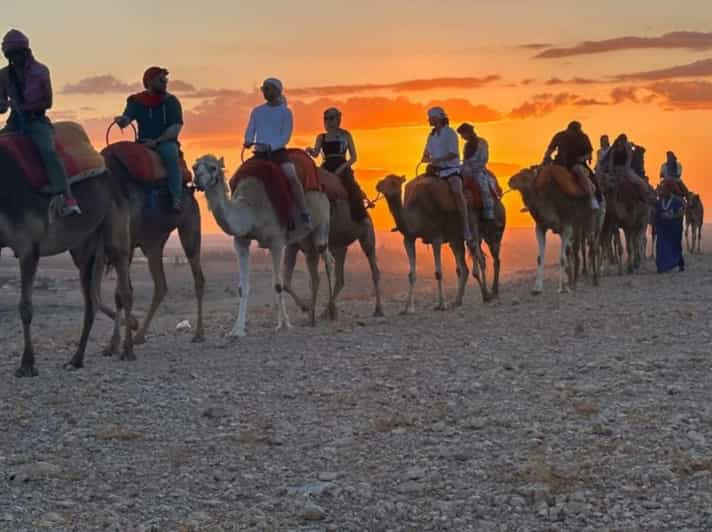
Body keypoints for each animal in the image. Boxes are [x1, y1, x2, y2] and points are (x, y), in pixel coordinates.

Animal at [0, 128, 134, 376]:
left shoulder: (28, 247)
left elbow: (25, 307)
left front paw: (27, 363)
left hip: (116, 227)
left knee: (124, 287)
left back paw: (128, 351)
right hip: (84, 248)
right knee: (90, 301)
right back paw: (76, 359)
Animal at [192, 154, 336, 336]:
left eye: (213, 167)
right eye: (194, 167)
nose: (197, 179)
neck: (250, 210)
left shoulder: (276, 242)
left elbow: (278, 285)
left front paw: (284, 324)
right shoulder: (241, 241)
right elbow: (243, 287)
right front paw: (237, 330)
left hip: (322, 222)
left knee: (328, 259)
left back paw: (330, 311)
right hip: (305, 238)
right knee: (317, 262)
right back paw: (312, 316)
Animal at [376, 176, 470, 312]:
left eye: (393, 182)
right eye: (384, 179)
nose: (378, 185)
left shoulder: (436, 238)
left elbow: (438, 273)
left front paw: (442, 305)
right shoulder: (409, 238)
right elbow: (411, 274)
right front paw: (407, 308)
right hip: (455, 239)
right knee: (463, 268)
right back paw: (457, 301)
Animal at [506, 165, 600, 294]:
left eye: (525, 176)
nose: (510, 181)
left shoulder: (566, 226)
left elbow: (562, 258)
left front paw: (562, 288)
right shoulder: (541, 227)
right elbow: (540, 258)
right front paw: (537, 288)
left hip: (590, 220)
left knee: (591, 245)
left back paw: (594, 279)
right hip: (576, 227)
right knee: (574, 249)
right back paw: (573, 282)